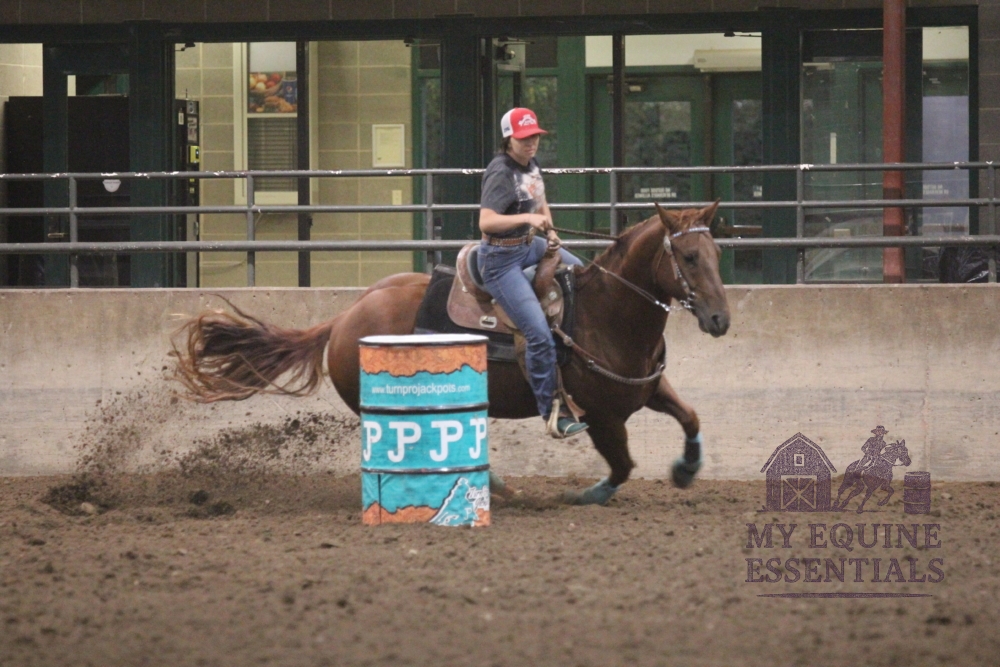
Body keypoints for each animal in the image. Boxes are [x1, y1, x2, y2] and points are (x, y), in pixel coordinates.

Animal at [170, 202, 731, 505]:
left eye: (716, 254)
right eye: (687, 256)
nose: (721, 319)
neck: (605, 311)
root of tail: (344, 317)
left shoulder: (647, 387)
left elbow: (691, 416)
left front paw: (686, 469)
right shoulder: (602, 415)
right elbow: (622, 467)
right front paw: (583, 494)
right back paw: (492, 487)